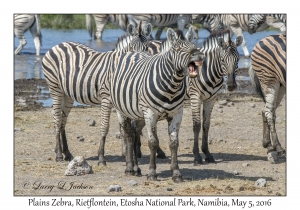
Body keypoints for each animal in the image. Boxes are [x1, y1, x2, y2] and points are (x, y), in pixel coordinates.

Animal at [41, 21, 152, 162]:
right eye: (132, 47)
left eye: (147, 47)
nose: (140, 60)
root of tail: (59, 44)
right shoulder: (107, 98)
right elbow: (105, 126)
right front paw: (101, 156)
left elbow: (126, 128)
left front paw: (129, 153)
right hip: (55, 88)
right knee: (56, 119)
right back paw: (59, 155)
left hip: (67, 94)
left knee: (62, 120)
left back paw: (66, 153)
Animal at [108, 26, 204, 181]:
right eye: (177, 48)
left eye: (194, 46)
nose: (199, 55)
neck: (172, 86)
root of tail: (133, 52)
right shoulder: (150, 113)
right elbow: (153, 142)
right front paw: (152, 172)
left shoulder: (177, 113)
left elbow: (174, 143)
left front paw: (176, 173)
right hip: (122, 111)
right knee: (128, 135)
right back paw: (129, 168)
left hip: (139, 115)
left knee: (135, 134)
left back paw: (136, 169)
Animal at [132, 29, 244, 165]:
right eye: (223, 60)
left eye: (238, 59)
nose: (232, 85)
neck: (208, 72)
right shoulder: (195, 96)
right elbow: (196, 125)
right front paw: (197, 156)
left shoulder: (211, 99)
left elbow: (206, 125)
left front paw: (207, 154)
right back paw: (137, 152)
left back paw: (144, 151)